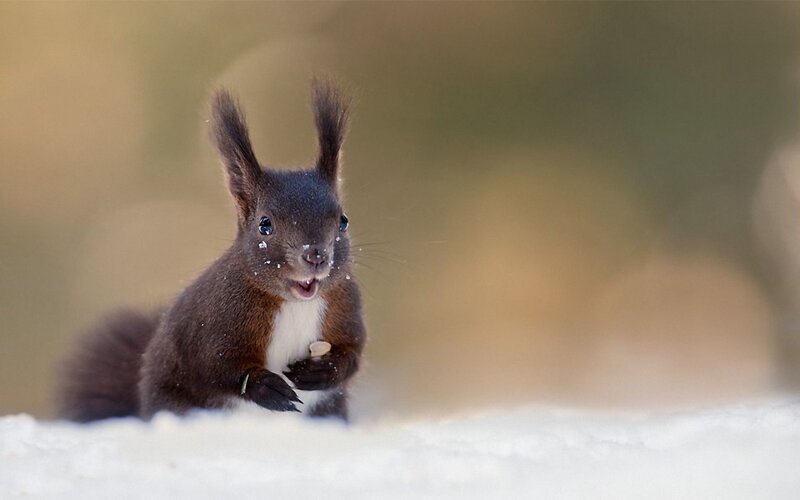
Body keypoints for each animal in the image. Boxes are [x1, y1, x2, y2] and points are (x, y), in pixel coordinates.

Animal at [57, 79, 366, 422]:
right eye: (265, 225)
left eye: (343, 221)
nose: (316, 255)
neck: (294, 303)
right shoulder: (215, 323)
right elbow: (216, 367)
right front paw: (263, 386)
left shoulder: (346, 307)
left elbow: (353, 353)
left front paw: (324, 370)